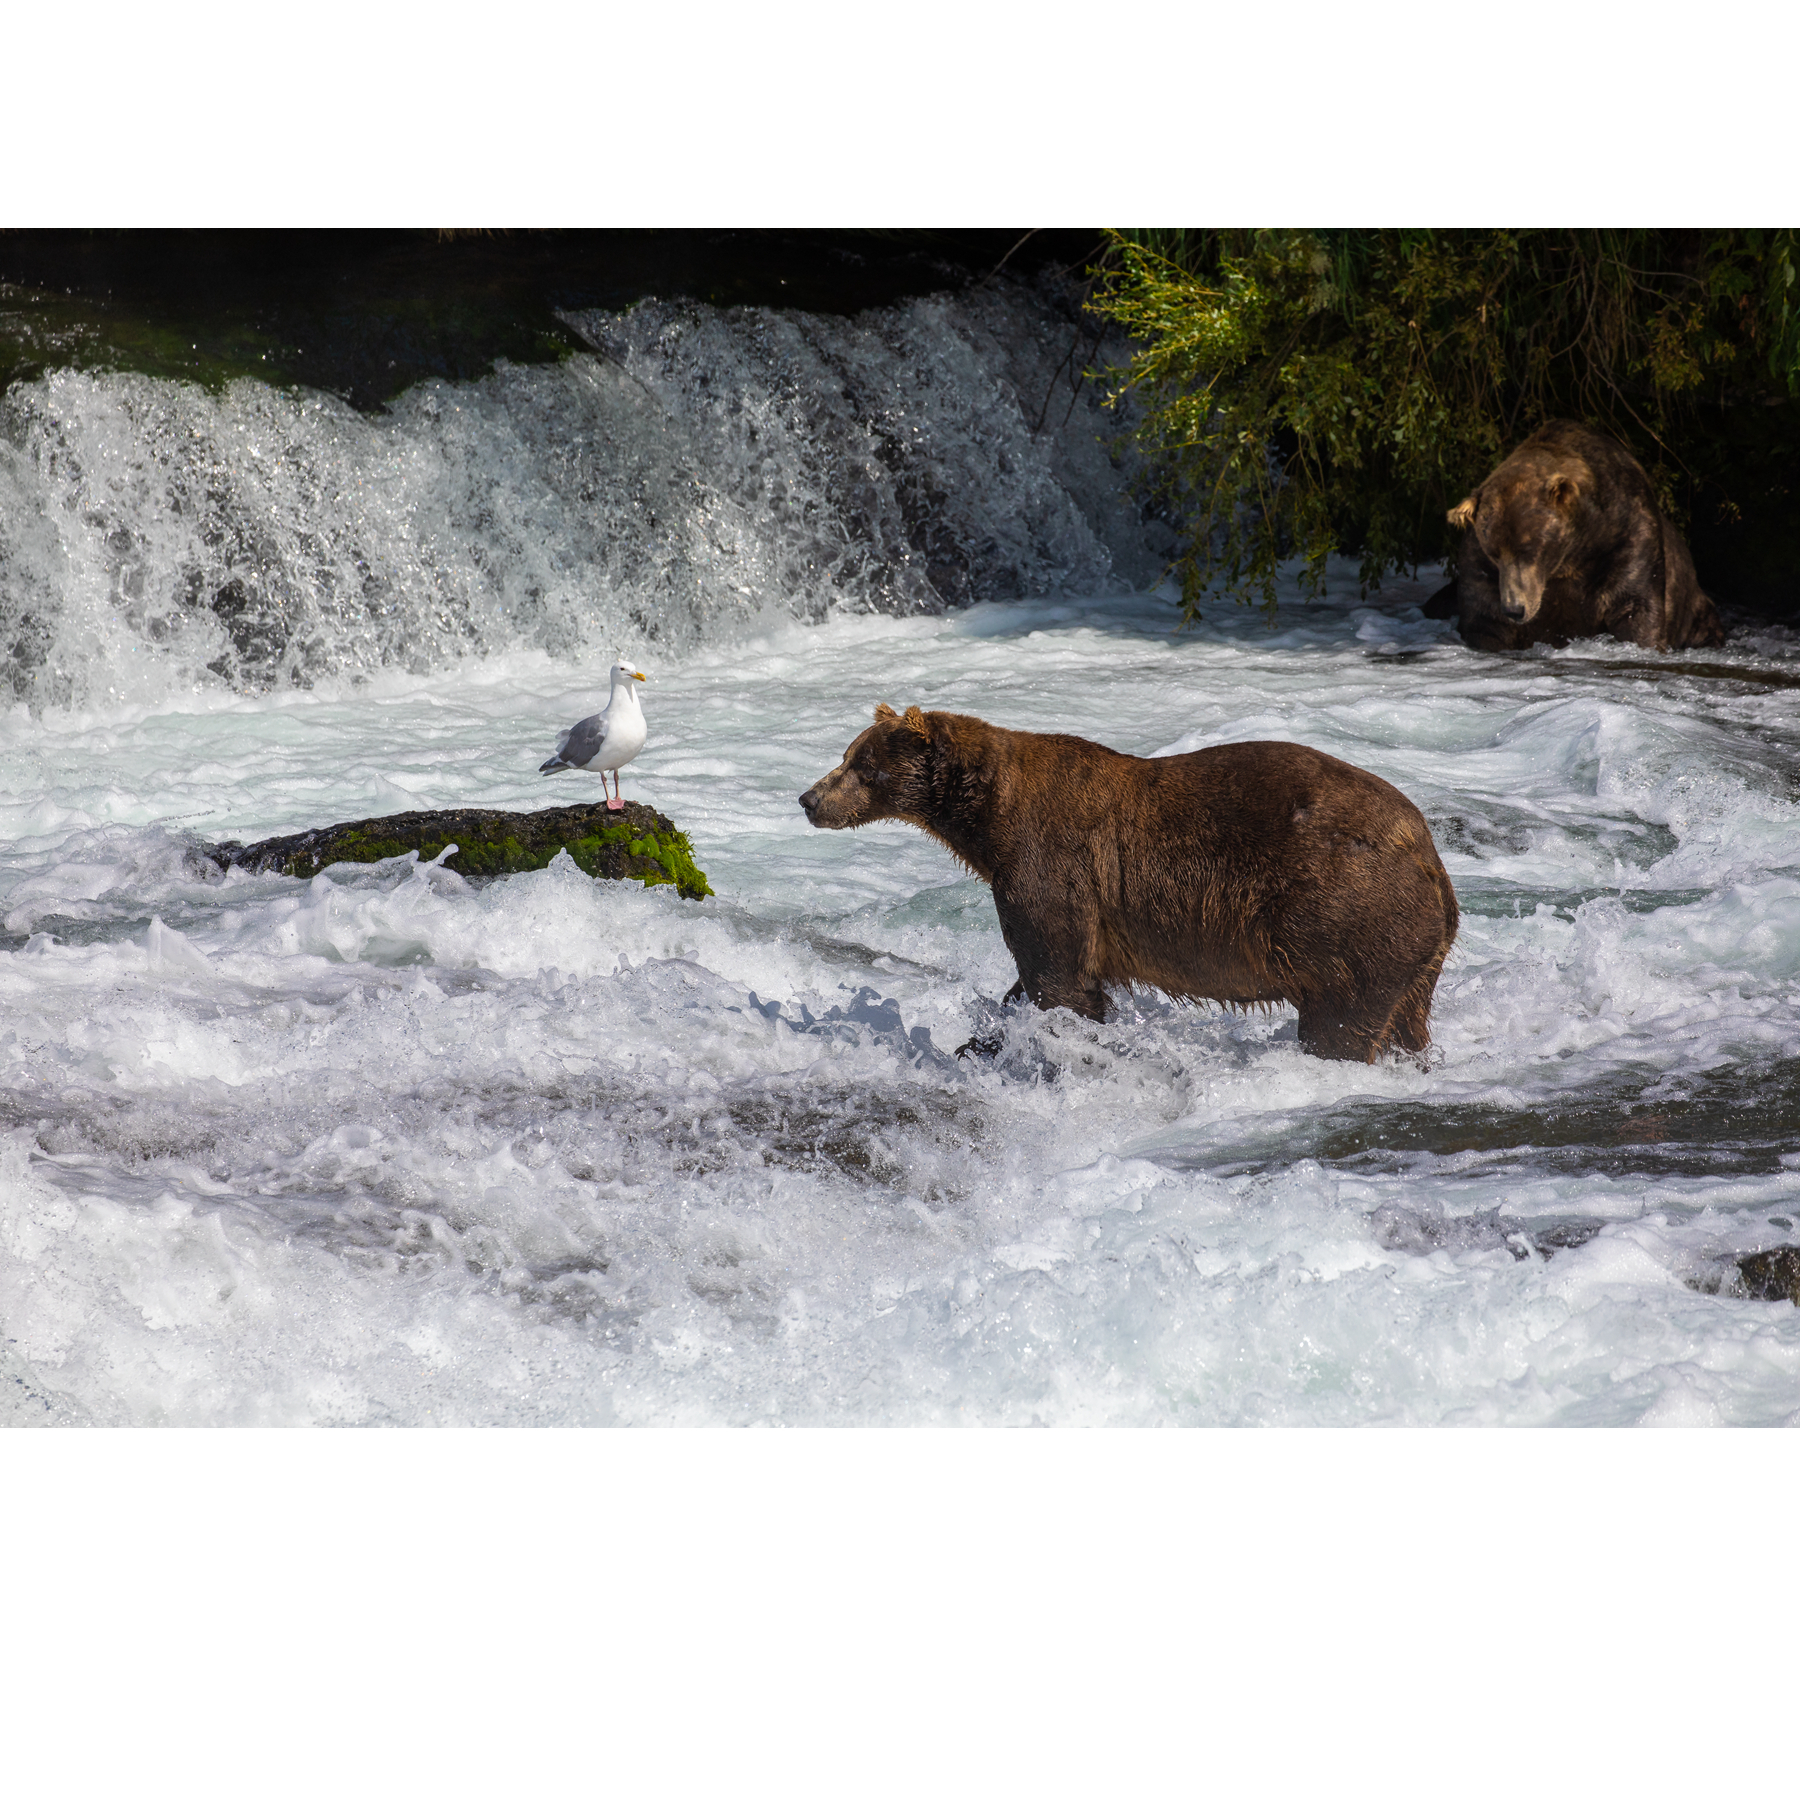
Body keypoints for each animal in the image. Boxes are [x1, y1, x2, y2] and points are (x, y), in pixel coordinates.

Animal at [802, 702, 1461, 1058]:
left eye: (862, 765)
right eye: (847, 755)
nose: (809, 799)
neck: (988, 816)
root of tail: (1429, 854)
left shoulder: (1050, 862)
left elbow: (1057, 978)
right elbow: (1040, 979)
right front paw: (978, 1040)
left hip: (1346, 914)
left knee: (1341, 1020)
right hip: (1412, 950)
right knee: (1406, 1021)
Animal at [1418, 417, 1728, 651]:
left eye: (1530, 549)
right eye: (1494, 552)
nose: (1515, 609)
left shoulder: (1627, 538)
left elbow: (1635, 609)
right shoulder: (1480, 568)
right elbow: (1485, 621)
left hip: (1695, 608)